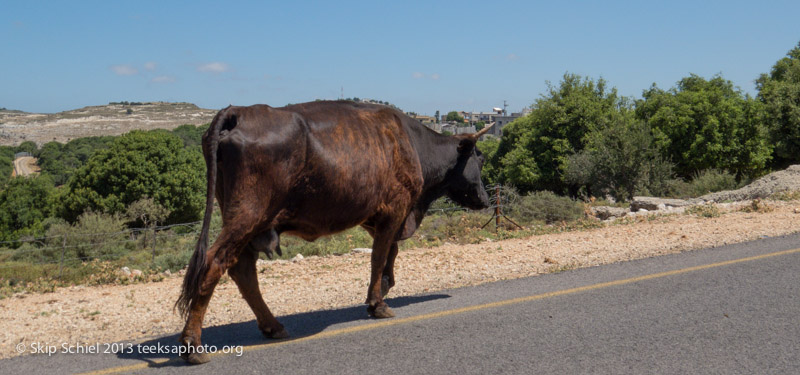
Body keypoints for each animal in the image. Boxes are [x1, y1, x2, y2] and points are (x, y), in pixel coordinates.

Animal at [173, 100, 494, 364]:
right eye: (479, 159)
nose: (485, 199)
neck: (412, 142)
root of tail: (238, 112)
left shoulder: (375, 217)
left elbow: (389, 253)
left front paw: (384, 287)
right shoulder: (393, 211)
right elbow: (379, 257)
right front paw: (378, 303)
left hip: (251, 225)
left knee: (243, 271)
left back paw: (273, 326)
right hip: (247, 217)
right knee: (214, 264)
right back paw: (193, 346)